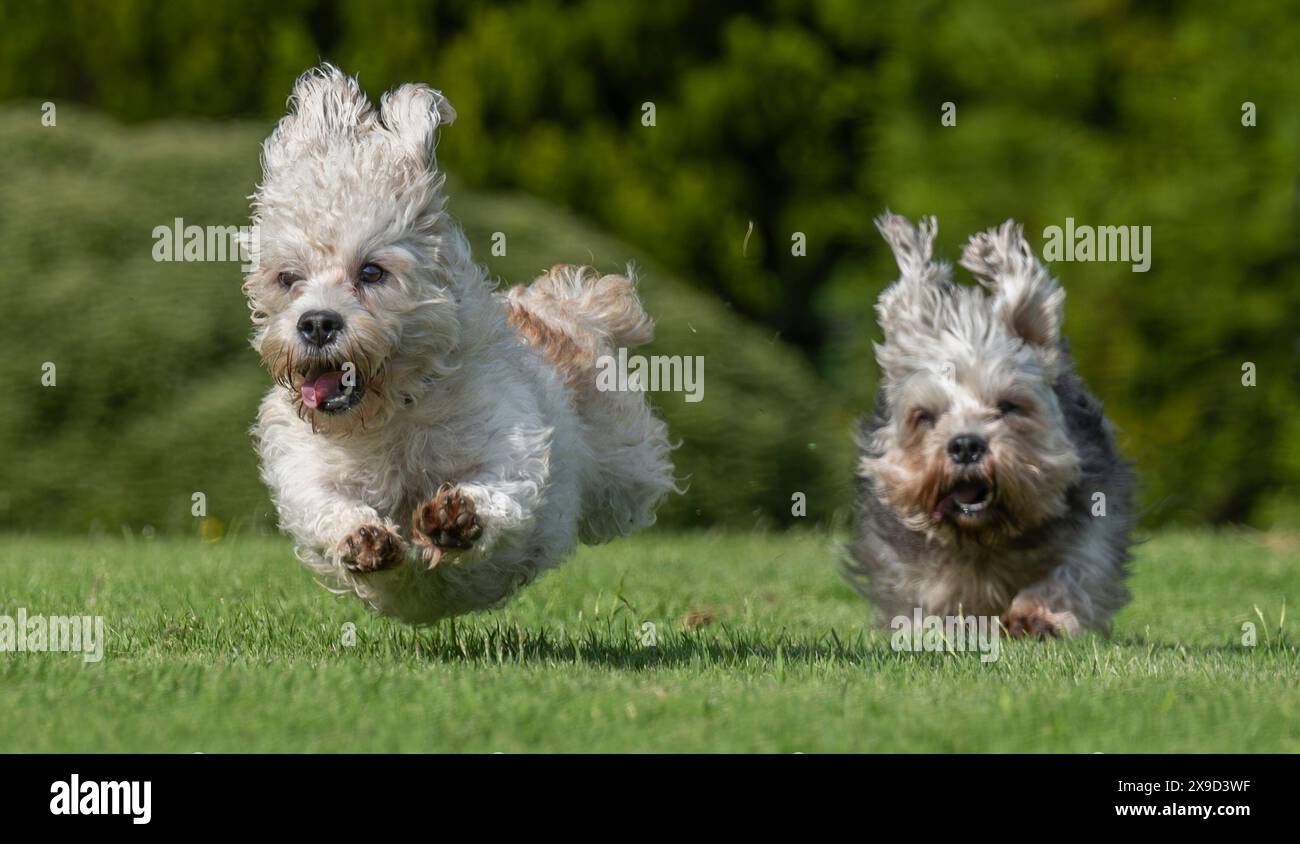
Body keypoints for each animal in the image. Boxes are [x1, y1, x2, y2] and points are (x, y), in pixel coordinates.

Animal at [241, 65, 681, 619]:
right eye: (287, 278)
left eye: (372, 271)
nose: (317, 323)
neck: (393, 413)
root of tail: (555, 311)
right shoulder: (303, 463)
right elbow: (323, 503)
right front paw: (361, 536)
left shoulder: (510, 433)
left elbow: (505, 484)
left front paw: (458, 514)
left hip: (626, 473)